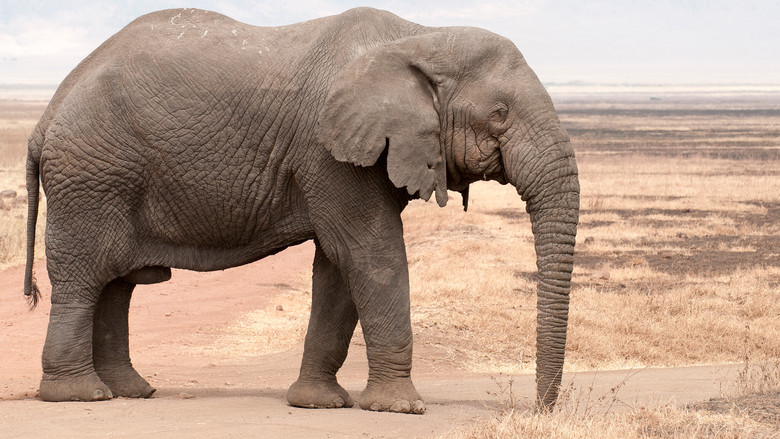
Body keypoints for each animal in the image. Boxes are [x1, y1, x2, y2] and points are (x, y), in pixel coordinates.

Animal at [23, 7, 579, 413]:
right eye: (500, 114)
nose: (537, 410)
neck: (419, 36)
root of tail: (46, 117)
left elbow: (338, 269)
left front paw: (319, 404)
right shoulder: (328, 151)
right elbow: (371, 253)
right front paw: (401, 409)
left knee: (116, 284)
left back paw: (130, 392)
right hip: (91, 178)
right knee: (84, 278)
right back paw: (79, 396)